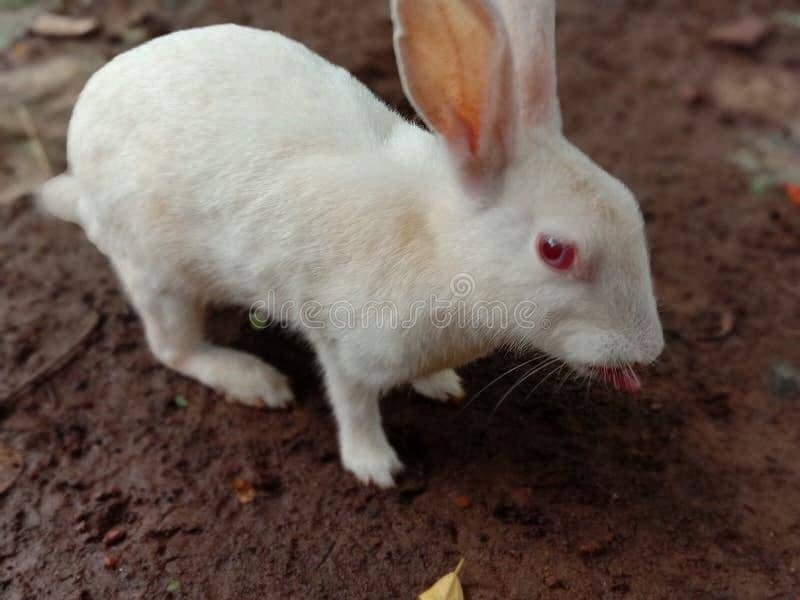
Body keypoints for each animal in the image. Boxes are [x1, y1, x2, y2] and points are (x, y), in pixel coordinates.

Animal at [40, 0, 664, 487]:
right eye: (555, 250)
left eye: (631, 204)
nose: (648, 350)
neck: (437, 243)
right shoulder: (346, 347)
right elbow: (353, 405)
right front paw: (375, 466)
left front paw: (440, 385)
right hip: (157, 272)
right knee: (173, 349)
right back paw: (255, 381)